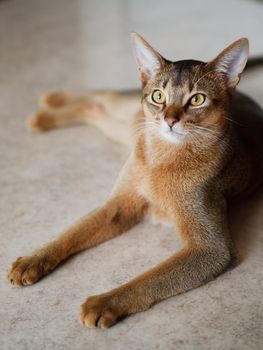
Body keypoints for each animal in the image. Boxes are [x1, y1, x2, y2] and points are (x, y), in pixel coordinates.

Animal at [6, 32, 263, 328]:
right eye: (158, 96)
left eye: (197, 99)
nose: (169, 120)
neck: (161, 157)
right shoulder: (119, 204)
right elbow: (72, 232)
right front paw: (33, 260)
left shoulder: (211, 249)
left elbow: (150, 278)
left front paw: (104, 303)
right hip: (131, 116)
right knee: (103, 96)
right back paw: (52, 100)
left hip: (124, 127)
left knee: (92, 108)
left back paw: (45, 114)